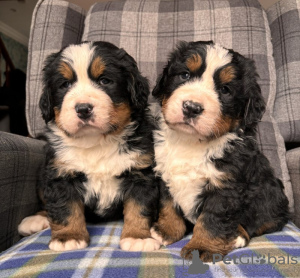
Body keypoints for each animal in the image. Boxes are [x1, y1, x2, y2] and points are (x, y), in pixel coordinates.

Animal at [17, 41, 161, 252]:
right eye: (65, 85)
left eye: (104, 81)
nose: (83, 109)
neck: (96, 142)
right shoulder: (61, 175)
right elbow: (65, 208)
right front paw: (68, 237)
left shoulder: (141, 173)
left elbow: (139, 208)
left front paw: (138, 237)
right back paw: (36, 219)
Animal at [151, 40, 290, 260]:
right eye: (185, 75)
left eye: (225, 90)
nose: (191, 107)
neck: (190, 143)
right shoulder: (165, 175)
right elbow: (168, 206)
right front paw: (166, 230)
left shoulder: (225, 187)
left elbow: (212, 220)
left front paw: (202, 247)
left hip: (272, 197)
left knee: (263, 221)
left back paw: (238, 235)